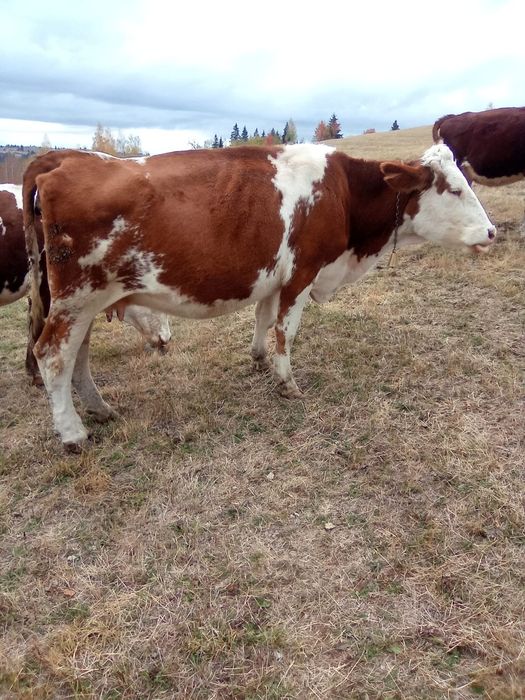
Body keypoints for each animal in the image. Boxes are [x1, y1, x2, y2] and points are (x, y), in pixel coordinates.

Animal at [22, 143, 495, 451]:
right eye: (455, 189)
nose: (491, 233)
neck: (341, 192)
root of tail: (63, 159)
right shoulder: (303, 271)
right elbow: (287, 328)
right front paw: (287, 382)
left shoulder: (275, 277)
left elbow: (263, 319)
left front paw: (259, 359)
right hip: (78, 297)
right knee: (53, 356)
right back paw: (72, 434)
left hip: (84, 302)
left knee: (77, 356)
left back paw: (99, 409)